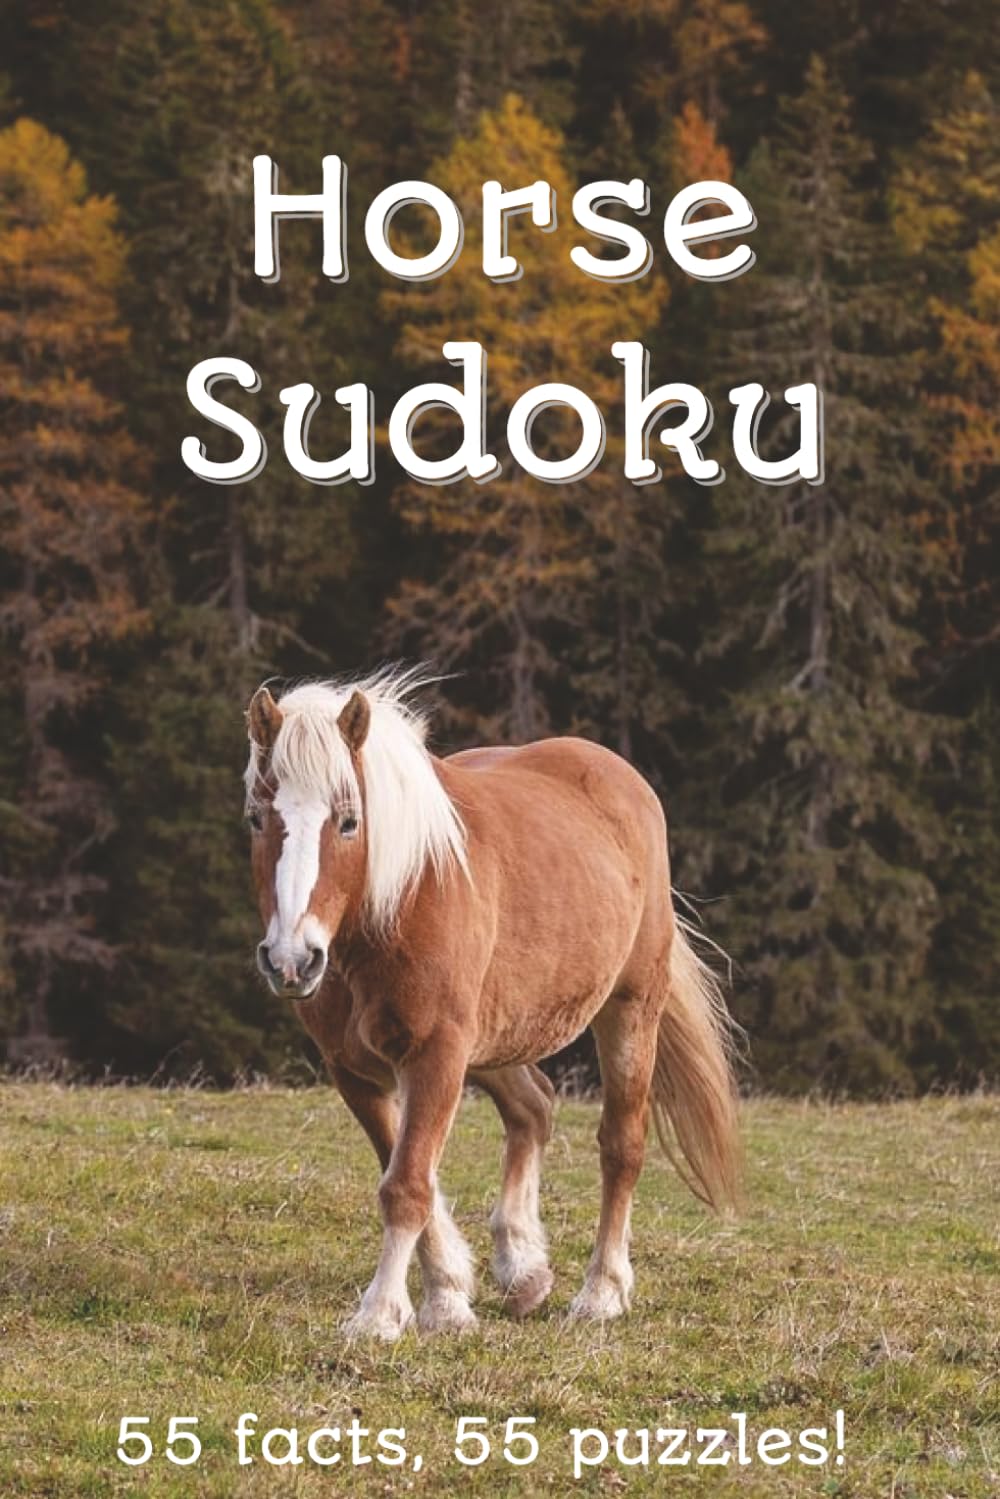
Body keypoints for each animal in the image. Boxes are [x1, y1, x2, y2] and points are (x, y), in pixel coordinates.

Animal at [243, 668, 740, 1340]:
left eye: (348, 821)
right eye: (256, 818)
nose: (292, 959)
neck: (400, 900)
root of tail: (620, 776)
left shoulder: (436, 1053)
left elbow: (407, 1184)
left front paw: (380, 1314)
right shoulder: (356, 1070)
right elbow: (411, 1174)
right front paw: (449, 1296)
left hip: (629, 1009)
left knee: (621, 1144)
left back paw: (601, 1291)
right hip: (495, 1036)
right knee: (533, 1108)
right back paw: (524, 1267)